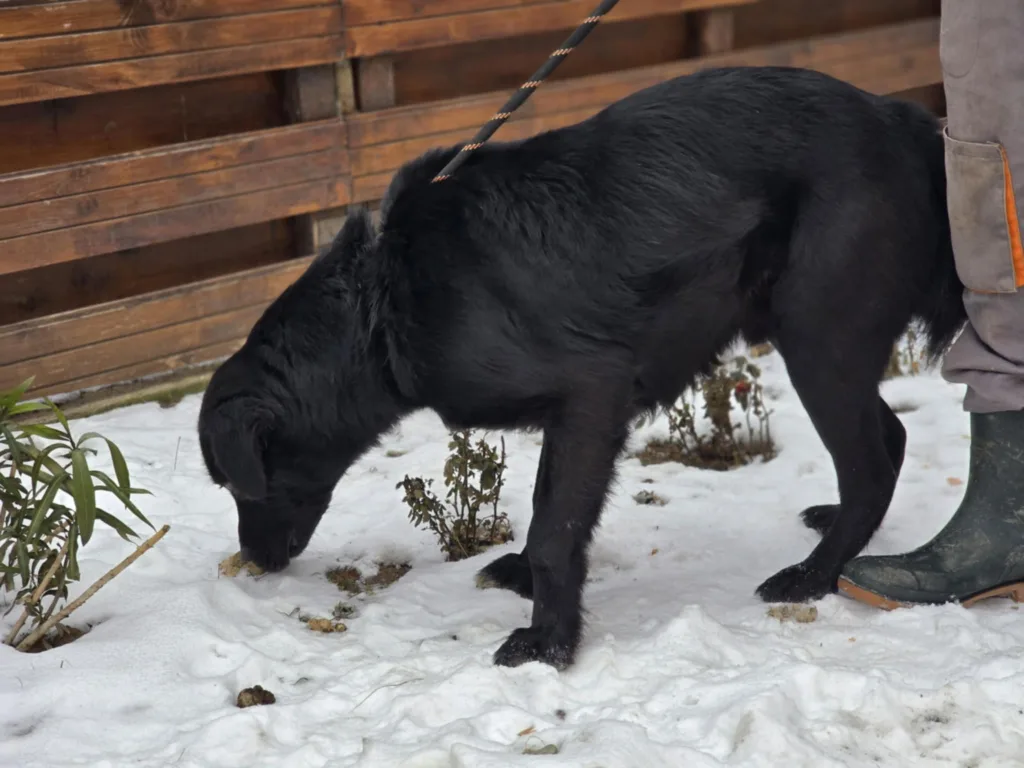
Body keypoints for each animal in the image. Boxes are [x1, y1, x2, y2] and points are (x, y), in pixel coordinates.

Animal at [198, 66, 965, 670]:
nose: (255, 562)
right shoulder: (572, 416)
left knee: (869, 462)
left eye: (234, 484)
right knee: (888, 439)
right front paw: (529, 589)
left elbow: (553, 531)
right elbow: (549, 512)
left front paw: (549, 643)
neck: (383, 300)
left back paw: (814, 576)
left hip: (818, 337)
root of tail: (903, 120)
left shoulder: (592, 394)